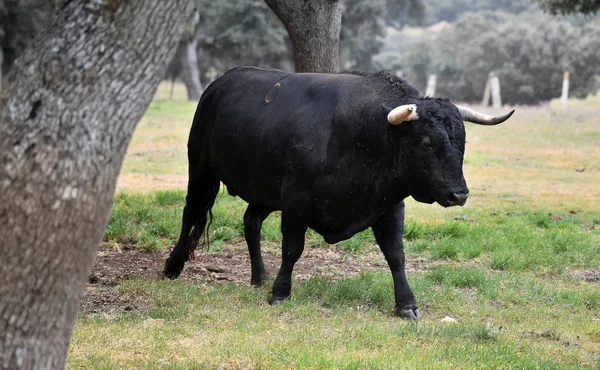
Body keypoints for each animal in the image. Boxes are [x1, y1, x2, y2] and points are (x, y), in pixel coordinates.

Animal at [165, 66, 516, 318]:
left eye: (462, 141)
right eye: (428, 143)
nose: (459, 194)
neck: (361, 136)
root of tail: (220, 82)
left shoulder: (389, 206)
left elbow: (396, 255)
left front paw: (406, 304)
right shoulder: (296, 201)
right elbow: (292, 249)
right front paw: (280, 292)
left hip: (265, 190)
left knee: (250, 222)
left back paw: (259, 276)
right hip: (201, 170)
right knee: (190, 214)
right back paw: (173, 266)